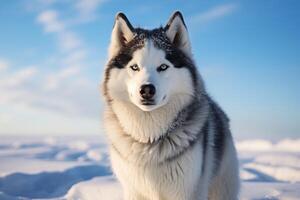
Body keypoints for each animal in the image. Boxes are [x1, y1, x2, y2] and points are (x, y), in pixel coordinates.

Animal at [102, 11, 240, 200]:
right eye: (135, 67)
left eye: (163, 67)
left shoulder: (185, 192)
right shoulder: (133, 191)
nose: (146, 90)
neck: (149, 139)